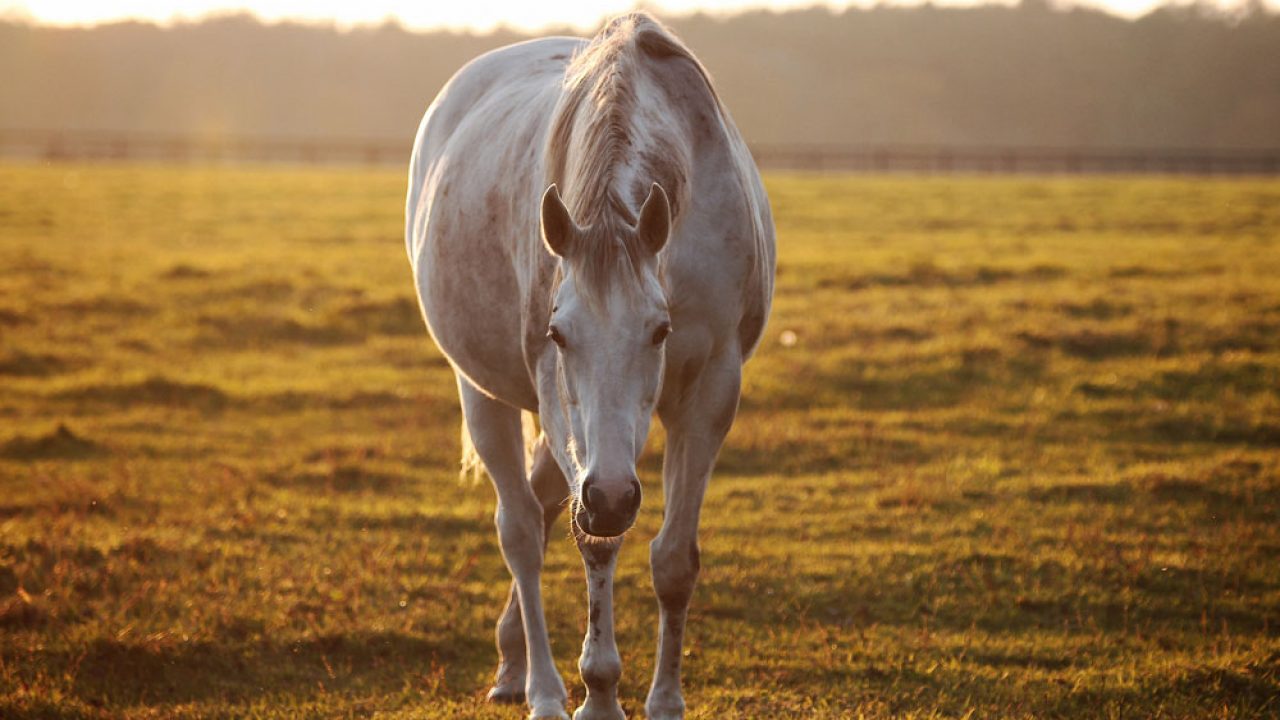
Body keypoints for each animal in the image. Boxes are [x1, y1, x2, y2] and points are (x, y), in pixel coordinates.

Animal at [405, 13, 775, 720]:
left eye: (660, 330)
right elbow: (595, 542)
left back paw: (513, 658)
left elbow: (674, 559)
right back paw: (542, 689)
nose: (609, 497)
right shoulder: (563, 410)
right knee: (522, 529)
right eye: (558, 332)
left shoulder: (712, 392)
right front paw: (599, 693)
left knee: (547, 502)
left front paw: (666, 700)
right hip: (484, 393)